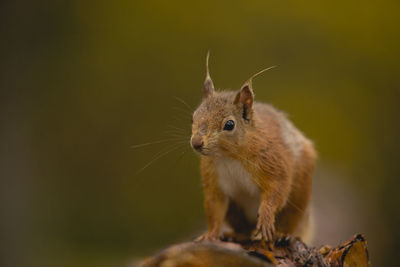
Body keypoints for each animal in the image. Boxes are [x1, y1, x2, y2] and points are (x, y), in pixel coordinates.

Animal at [189, 52, 318, 245]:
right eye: (193, 117)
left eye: (229, 124)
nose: (196, 143)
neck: (229, 157)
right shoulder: (214, 179)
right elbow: (214, 208)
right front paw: (210, 235)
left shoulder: (273, 161)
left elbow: (276, 191)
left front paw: (265, 219)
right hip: (236, 211)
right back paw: (237, 235)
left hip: (300, 192)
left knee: (291, 219)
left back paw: (284, 234)